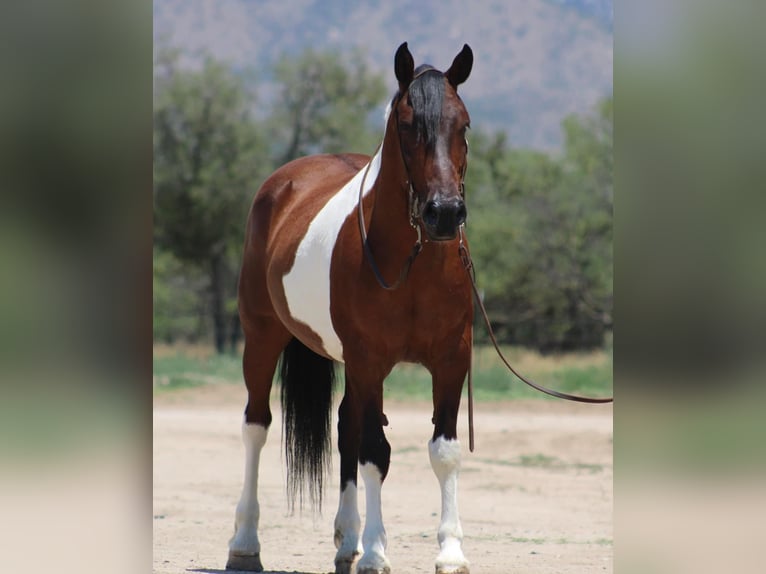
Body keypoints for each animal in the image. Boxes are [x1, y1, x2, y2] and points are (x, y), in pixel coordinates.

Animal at [228, 41, 476, 574]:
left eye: (463, 124)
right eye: (408, 124)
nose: (444, 214)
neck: (412, 265)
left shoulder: (451, 360)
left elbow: (442, 451)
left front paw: (450, 551)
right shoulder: (370, 362)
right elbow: (374, 453)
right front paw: (378, 553)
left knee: (345, 424)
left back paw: (346, 542)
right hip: (262, 339)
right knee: (256, 426)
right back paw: (245, 543)